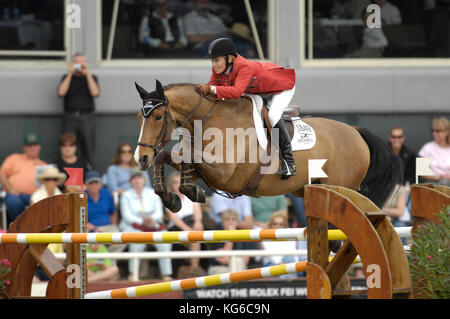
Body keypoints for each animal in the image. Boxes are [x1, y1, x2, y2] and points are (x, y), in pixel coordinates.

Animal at [134, 80, 400, 214]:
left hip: (343, 185)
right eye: (139, 117)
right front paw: (172, 198)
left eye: (157, 117)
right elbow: (169, 157)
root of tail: (356, 132)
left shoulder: (226, 173)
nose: (141, 158)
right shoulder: (208, 170)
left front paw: (190, 192)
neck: (210, 117)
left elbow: (185, 156)